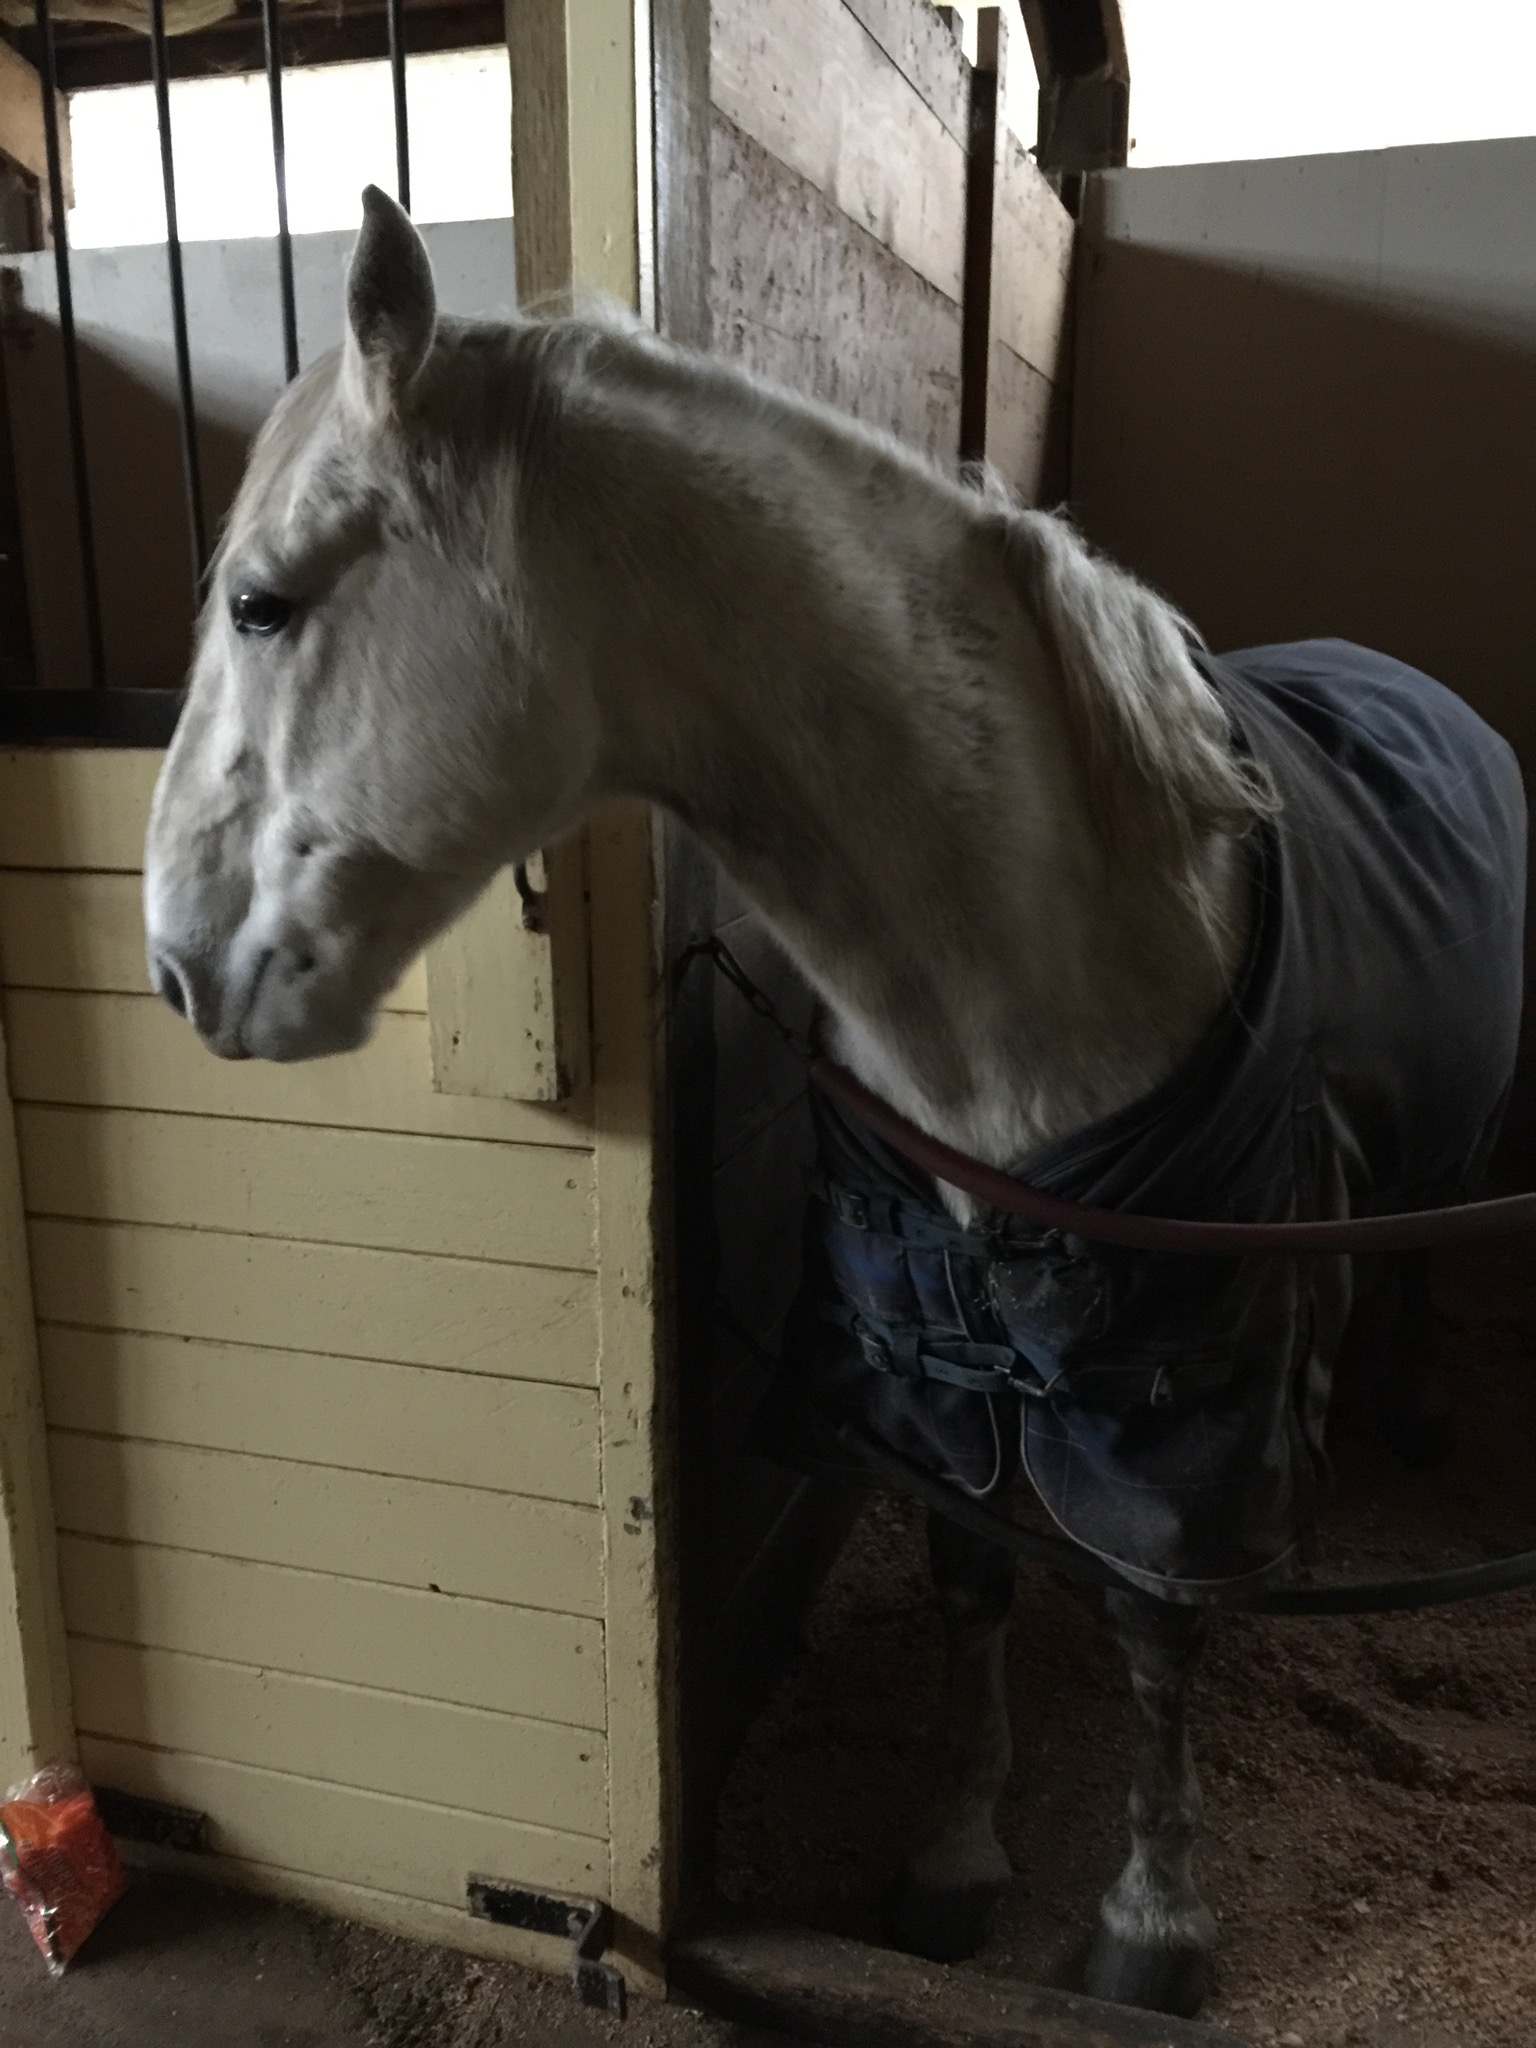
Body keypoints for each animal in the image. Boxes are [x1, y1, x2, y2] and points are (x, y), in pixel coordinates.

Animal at [143, 187, 1527, 2019]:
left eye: (261, 603)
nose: (173, 966)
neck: (1033, 969)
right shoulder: (926, 1364)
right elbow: (970, 1573)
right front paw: (950, 1857)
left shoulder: (1182, 1398)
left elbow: (1155, 1622)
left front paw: (1150, 1929)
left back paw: (1416, 1409)